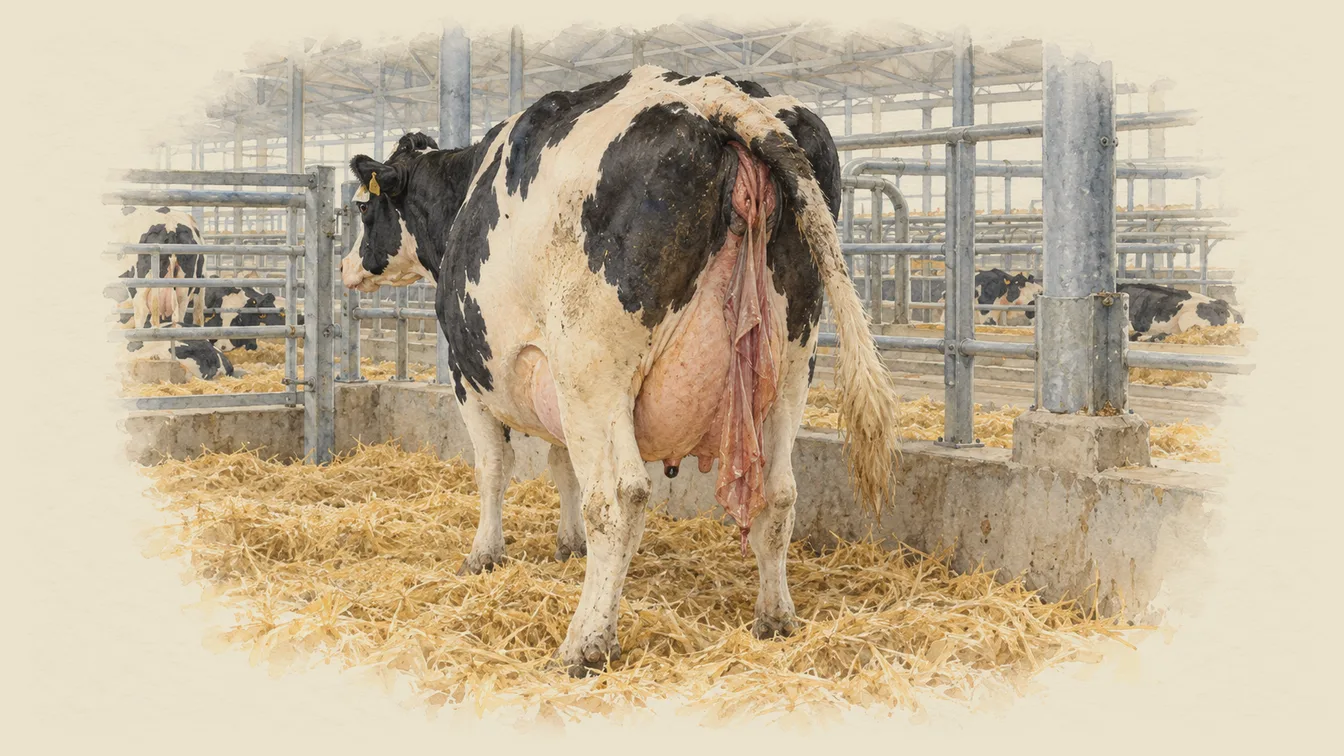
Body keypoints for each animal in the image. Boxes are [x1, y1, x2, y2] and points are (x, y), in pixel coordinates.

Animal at [338, 66, 901, 676]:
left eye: (363, 210)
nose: (346, 267)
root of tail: (717, 97)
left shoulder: (472, 378)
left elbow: (493, 468)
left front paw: (484, 555)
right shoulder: (550, 381)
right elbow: (561, 466)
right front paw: (569, 544)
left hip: (593, 364)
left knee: (619, 496)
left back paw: (585, 643)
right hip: (790, 367)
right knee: (778, 495)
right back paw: (774, 618)